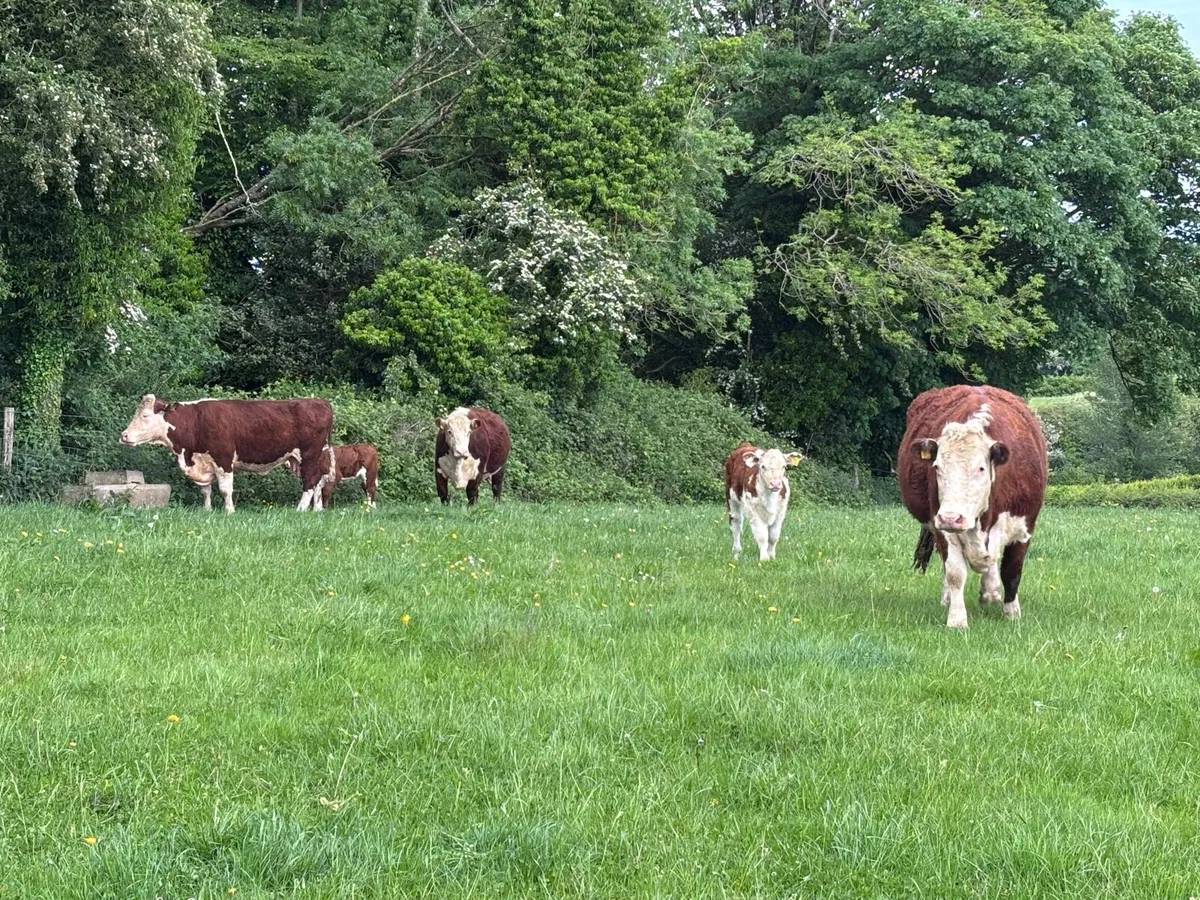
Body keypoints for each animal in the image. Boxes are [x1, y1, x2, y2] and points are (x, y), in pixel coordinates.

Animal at [120, 394, 334, 513]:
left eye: (145, 415)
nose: (124, 435)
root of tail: (320, 401)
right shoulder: (204, 463)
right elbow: (205, 490)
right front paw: (207, 510)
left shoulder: (223, 460)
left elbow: (225, 489)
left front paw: (229, 511)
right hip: (305, 458)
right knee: (317, 481)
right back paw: (316, 510)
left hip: (309, 455)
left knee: (310, 482)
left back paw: (300, 509)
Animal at [898, 385, 1048, 629]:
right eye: (937, 467)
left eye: (980, 468)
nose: (951, 517)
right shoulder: (942, 527)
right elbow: (955, 573)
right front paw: (957, 619)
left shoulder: (1024, 526)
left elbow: (1012, 570)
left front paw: (1012, 613)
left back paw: (991, 592)